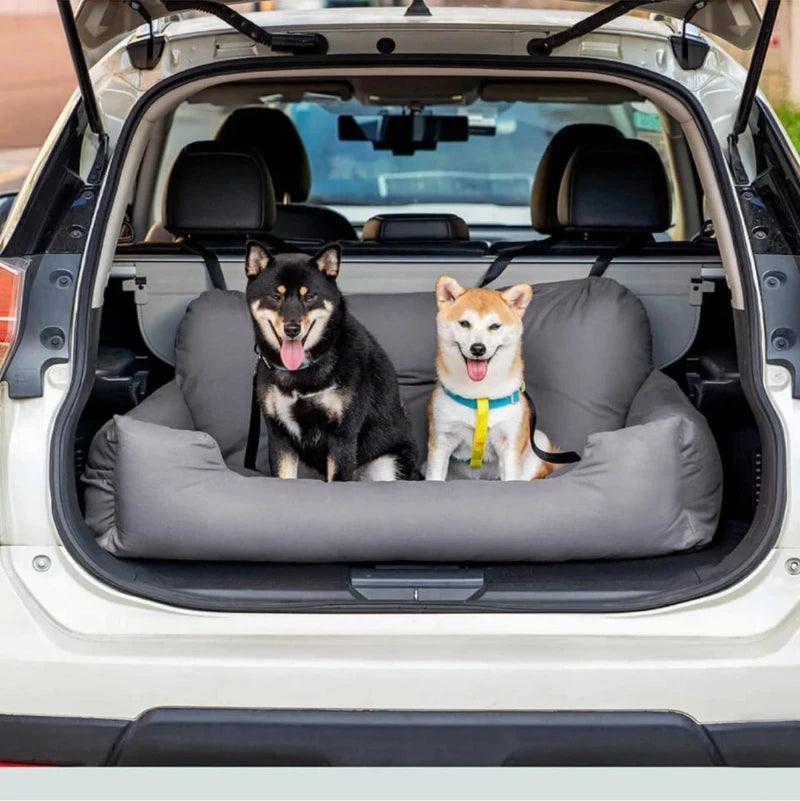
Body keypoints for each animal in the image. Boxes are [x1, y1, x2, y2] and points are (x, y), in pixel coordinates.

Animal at [245, 241, 418, 482]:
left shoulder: (342, 434)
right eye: (275, 296)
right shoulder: (279, 435)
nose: (292, 329)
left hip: (387, 465)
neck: (304, 369)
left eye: (310, 297)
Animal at [424, 276, 556, 482]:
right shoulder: (441, 440)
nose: (478, 348)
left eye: (495, 326)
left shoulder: (509, 443)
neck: (480, 396)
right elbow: (435, 477)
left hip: (538, 442)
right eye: (464, 323)